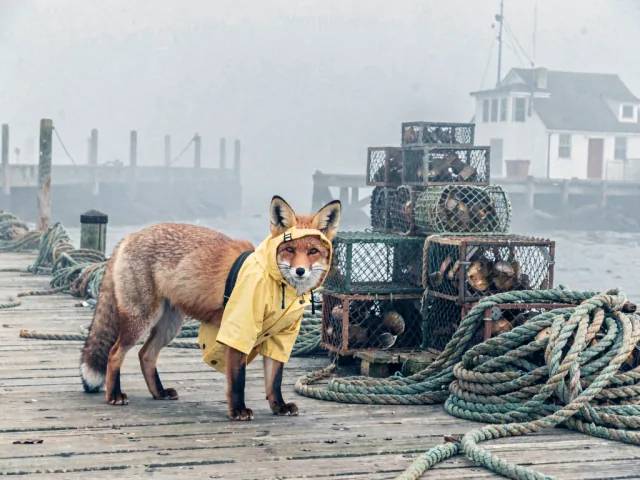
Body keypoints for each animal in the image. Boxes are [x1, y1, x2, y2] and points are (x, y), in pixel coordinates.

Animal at [80, 196, 340, 421]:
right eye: (289, 250)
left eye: (313, 251)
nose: (300, 271)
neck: (275, 285)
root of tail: (129, 237)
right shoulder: (238, 330)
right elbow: (238, 380)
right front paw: (238, 410)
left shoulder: (279, 337)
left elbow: (274, 381)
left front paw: (278, 406)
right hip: (141, 319)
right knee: (114, 353)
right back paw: (114, 395)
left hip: (169, 326)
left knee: (146, 354)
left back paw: (159, 393)